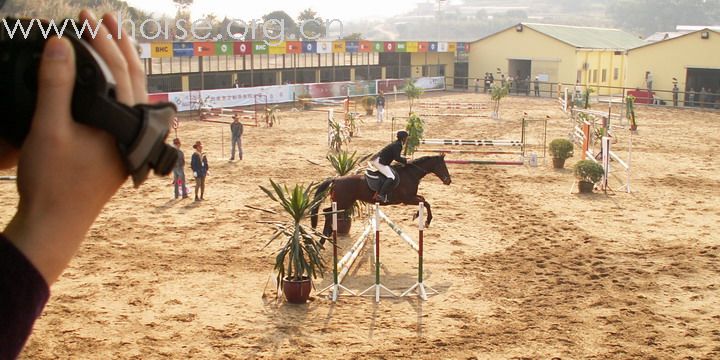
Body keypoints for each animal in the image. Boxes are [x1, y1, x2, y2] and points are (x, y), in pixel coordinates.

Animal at [310, 154, 450, 236]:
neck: (410, 174)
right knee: (328, 212)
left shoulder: (411, 198)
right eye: (443, 165)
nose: (448, 181)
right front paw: (426, 221)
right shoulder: (407, 199)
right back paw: (325, 235)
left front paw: (416, 215)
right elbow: (425, 202)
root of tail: (336, 179)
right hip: (342, 203)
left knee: (327, 211)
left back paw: (325, 235)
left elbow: (424, 200)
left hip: (344, 203)